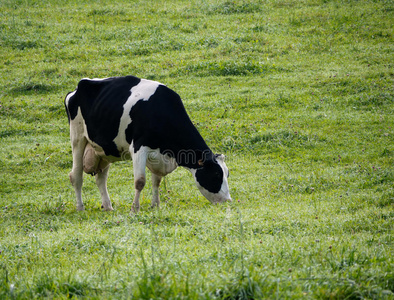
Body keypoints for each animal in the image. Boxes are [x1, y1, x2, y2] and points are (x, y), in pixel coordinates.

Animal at [63, 76, 231, 212]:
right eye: (216, 174)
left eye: (227, 173)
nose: (228, 201)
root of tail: (76, 88)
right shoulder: (138, 148)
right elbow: (140, 182)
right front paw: (134, 209)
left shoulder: (158, 156)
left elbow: (156, 181)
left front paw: (155, 205)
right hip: (77, 137)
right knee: (76, 176)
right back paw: (80, 208)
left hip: (104, 150)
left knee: (101, 179)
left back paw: (108, 206)